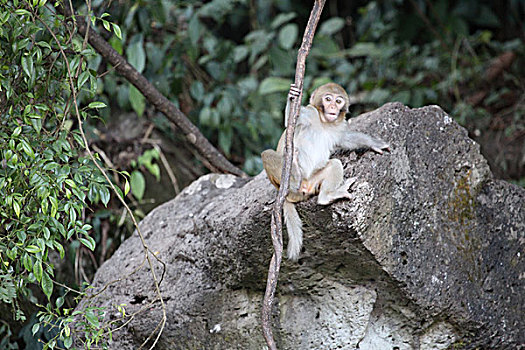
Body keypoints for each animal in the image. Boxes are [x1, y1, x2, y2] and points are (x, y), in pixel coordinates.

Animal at [260, 83, 386, 262]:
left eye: (338, 101)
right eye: (327, 99)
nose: (332, 107)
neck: (325, 122)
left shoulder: (340, 127)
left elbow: (346, 140)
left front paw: (373, 144)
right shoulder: (310, 114)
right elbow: (290, 121)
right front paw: (292, 96)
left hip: (312, 182)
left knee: (334, 164)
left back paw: (327, 196)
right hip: (288, 185)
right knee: (267, 154)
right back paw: (294, 174)